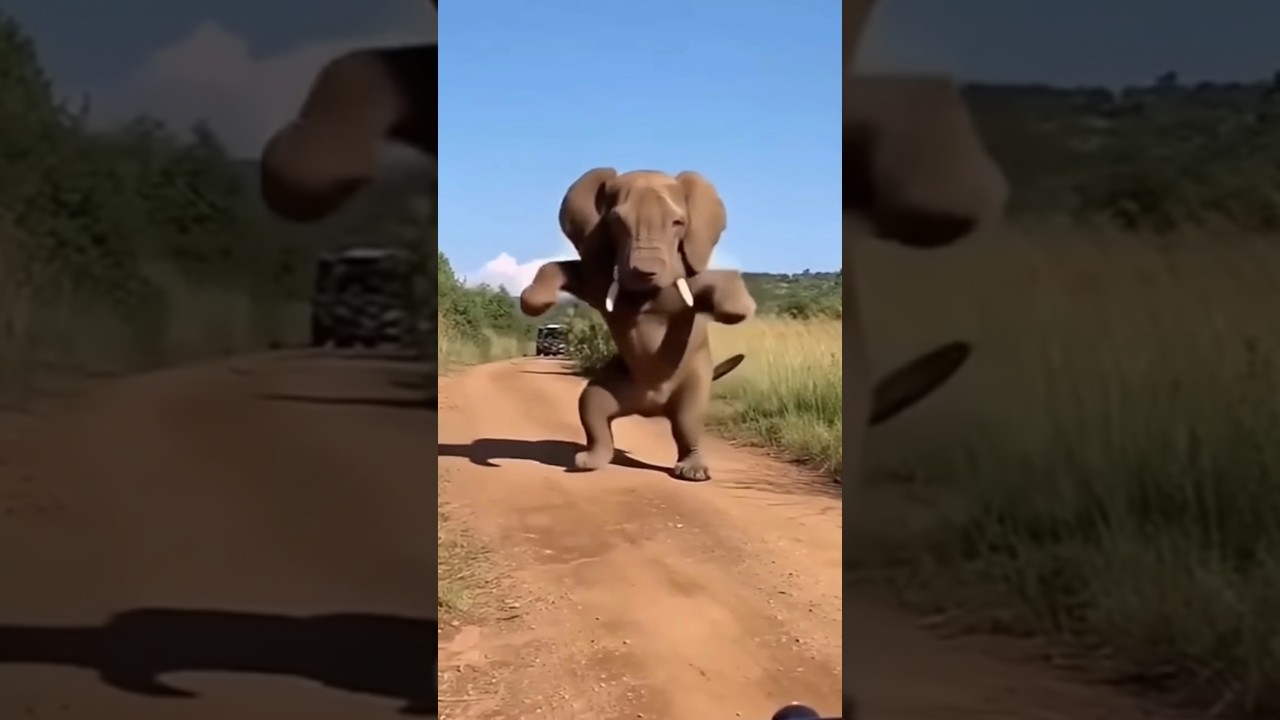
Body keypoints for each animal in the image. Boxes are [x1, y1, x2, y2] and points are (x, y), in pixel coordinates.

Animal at [520, 169, 759, 482]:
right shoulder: (599, 275)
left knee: (688, 420)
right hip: (618, 385)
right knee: (592, 406)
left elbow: (709, 281)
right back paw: (590, 461)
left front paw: (737, 308)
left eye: (678, 223)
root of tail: (650, 408)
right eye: (616, 223)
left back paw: (693, 472)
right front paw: (533, 301)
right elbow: (566, 269)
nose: (645, 271)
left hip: (695, 379)